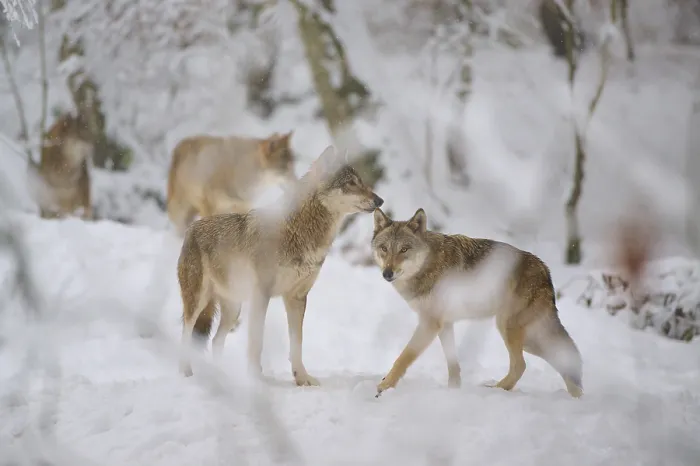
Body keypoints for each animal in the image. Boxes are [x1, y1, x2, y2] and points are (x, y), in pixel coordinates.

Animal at [166, 130, 297, 236]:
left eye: (293, 166)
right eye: (286, 169)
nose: (297, 182)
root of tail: (180, 145)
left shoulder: (244, 208)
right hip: (181, 211)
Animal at [177, 145, 384, 385]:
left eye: (361, 181)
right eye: (350, 183)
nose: (380, 201)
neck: (300, 232)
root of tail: (192, 228)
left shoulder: (297, 297)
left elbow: (297, 344)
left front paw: (302, 378)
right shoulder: (262, 294)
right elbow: (256, 343)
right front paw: (255, 378)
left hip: (233, 310)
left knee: (216, 341)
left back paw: (221, 376)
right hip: (198, 302)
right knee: (186, 334)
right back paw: (186, 374)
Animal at [371, 208, 583, 398]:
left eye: (404, 249)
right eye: (384, 249)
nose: (387, 273)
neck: (427, 266)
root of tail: (545, 269)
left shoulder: (429, 324)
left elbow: (404, 358)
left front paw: (385, 387)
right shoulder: (444, 324)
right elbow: (453, 364)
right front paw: (453, 390)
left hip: (511, 329)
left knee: (522, 365)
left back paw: (495, 390)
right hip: (529, 338)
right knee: (562, 360)